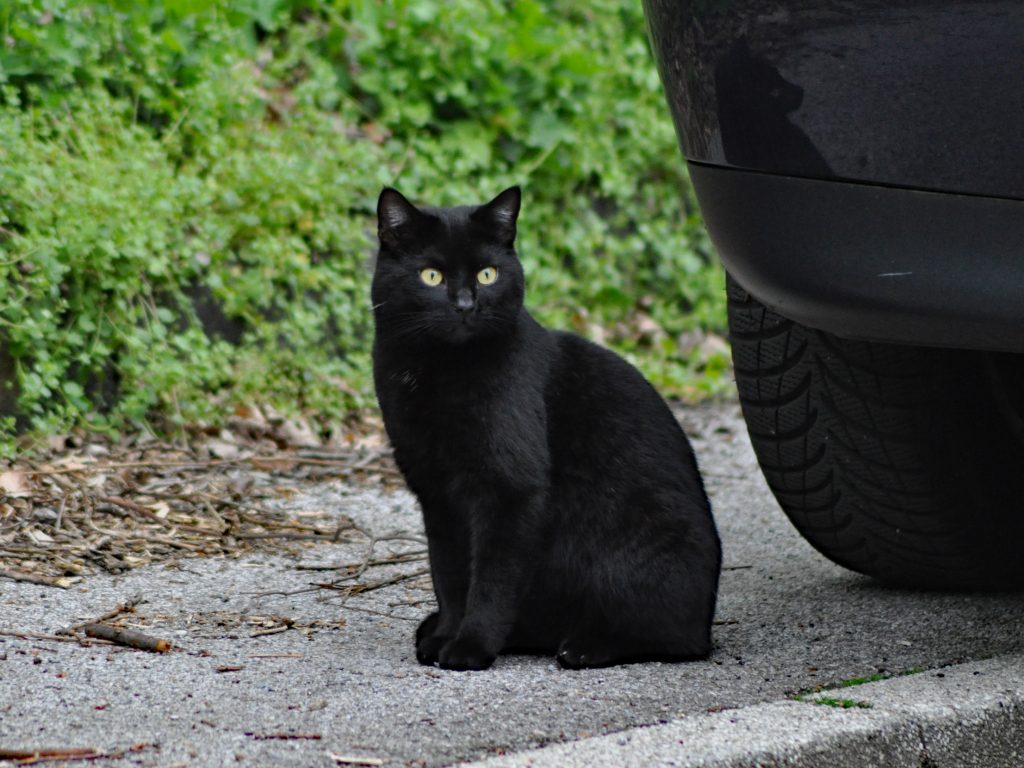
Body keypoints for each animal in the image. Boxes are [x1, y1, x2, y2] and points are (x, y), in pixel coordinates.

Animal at [370, 188, 720, 671]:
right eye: (431, 276)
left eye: (488, 274)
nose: (466, 305)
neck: (437, 371)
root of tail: (708, 616)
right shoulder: (436, 494)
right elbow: (449, 574)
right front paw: (444, 635)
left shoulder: (510, 489)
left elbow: (492, 581)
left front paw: (470, 646)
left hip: (626, 558)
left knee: (669, 636)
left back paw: (585, 646)